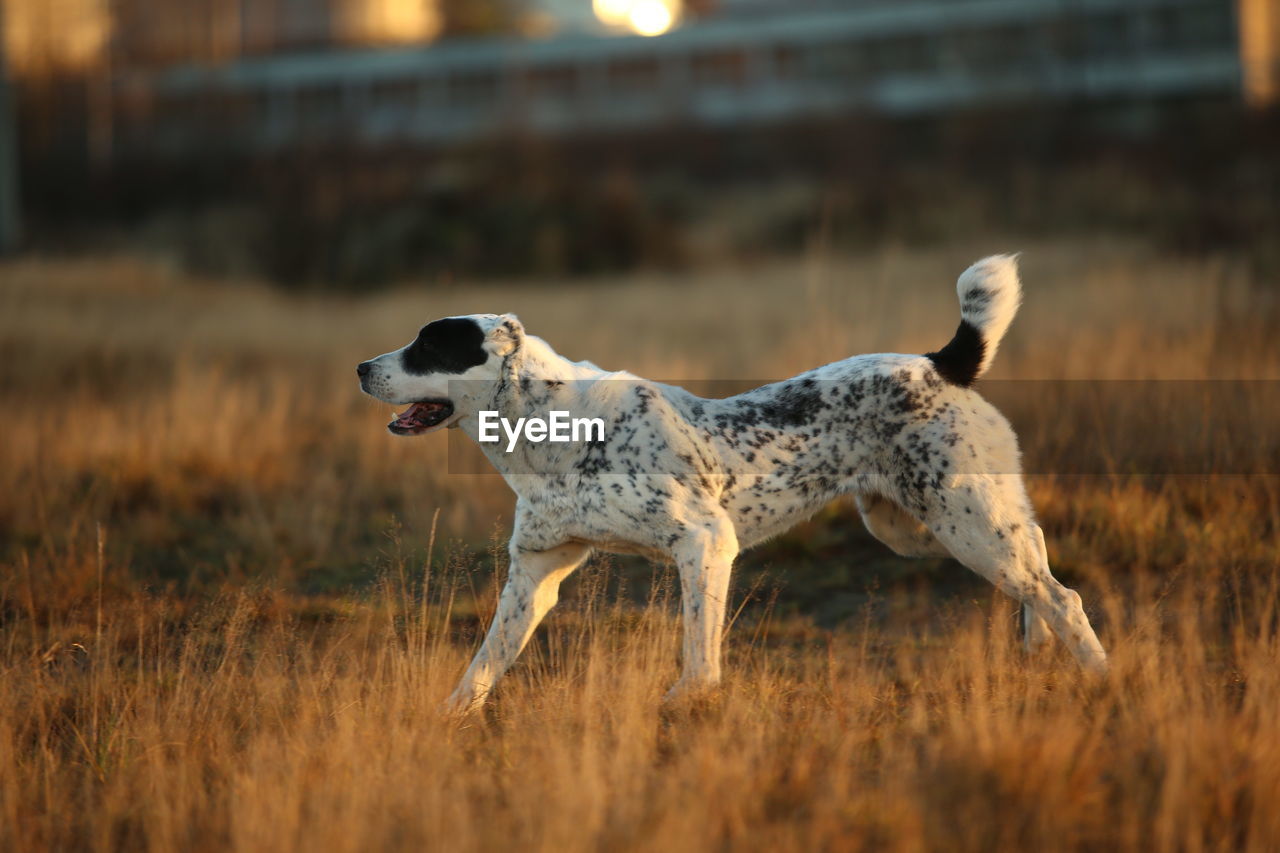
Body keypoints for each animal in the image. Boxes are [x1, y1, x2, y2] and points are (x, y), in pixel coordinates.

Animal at [355, 256, 1105, 712]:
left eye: (429, 345)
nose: (361, 367)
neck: (550, 428)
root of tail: (939, 362)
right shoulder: (535, 572)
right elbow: (484, 662)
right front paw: (449, 721)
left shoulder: (706, 543)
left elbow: (698, 650)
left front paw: (686, 704)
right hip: (923, 528)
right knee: (1036, 557)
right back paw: (1038, 648)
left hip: (961, 522)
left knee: (1061, 594)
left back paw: (1101, 676)